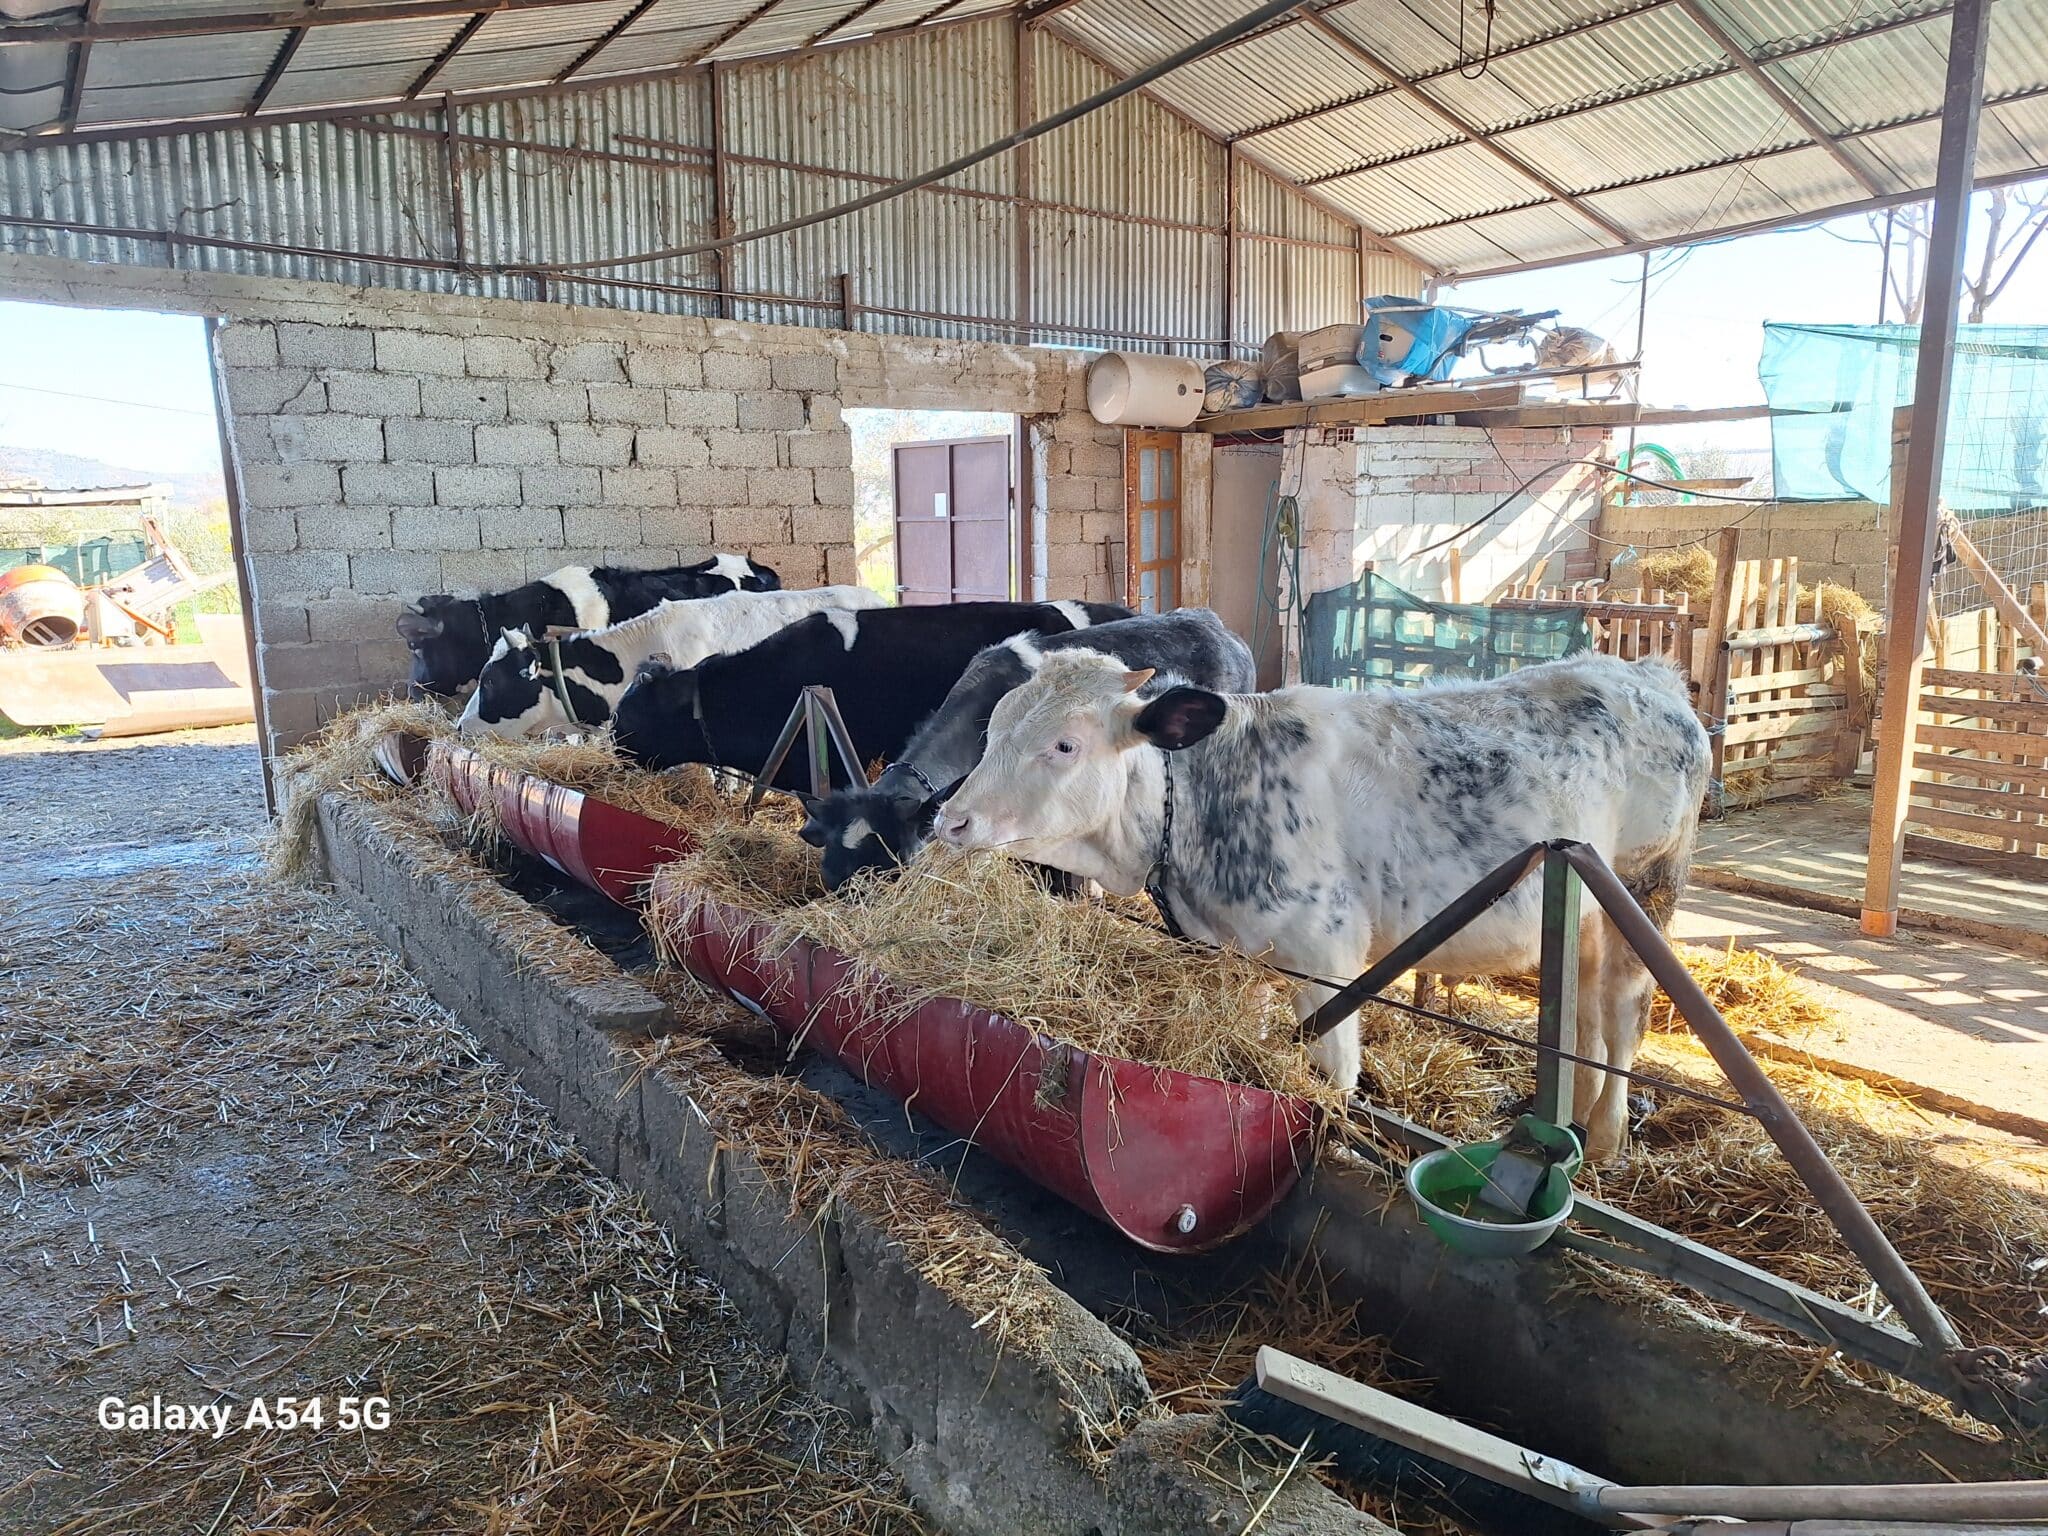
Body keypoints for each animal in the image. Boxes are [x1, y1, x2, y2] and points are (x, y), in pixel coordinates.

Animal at [932, 652, 1709, 1162]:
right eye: (993, 728)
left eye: (1064, 744)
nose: (951, 820)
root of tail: (1649, 675)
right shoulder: (1234, 954)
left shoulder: (1326, 953)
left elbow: (1333, 1071)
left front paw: (1333, 1142)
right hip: (1585, 918)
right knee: (1584, 1019)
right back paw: (1574, 1114)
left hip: (1644, 892)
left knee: (1624, 1015)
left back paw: (1605, 1140)